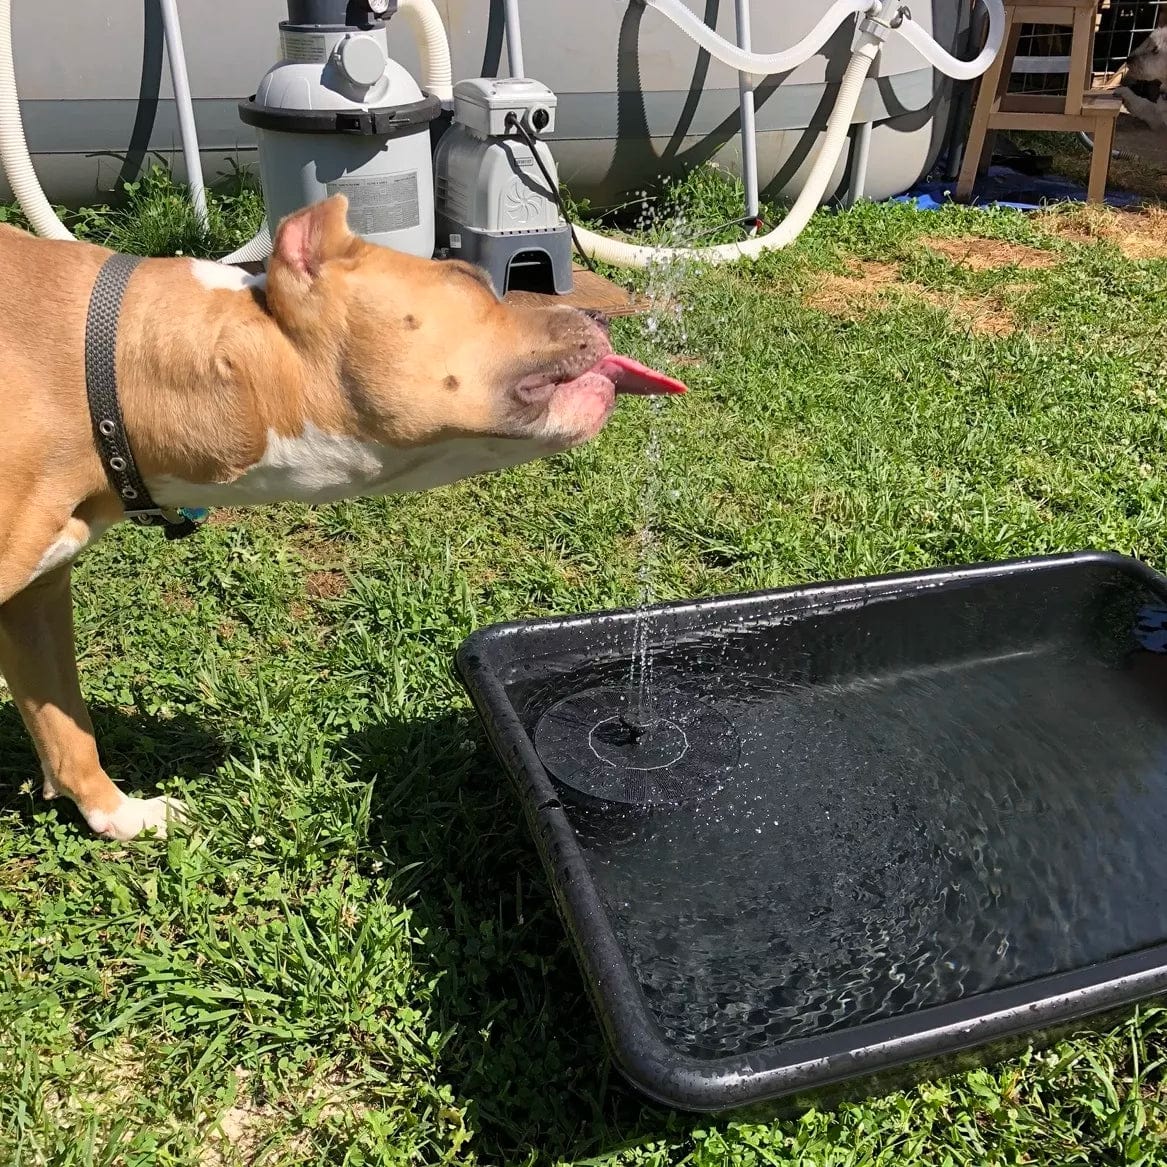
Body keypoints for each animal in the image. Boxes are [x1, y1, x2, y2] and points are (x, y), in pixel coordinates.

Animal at [0, 198, 681, 840]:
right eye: (467, 278)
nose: (599, 316)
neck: (114, 373)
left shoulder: (37, 597)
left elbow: (65, 726)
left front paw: (120, 815)